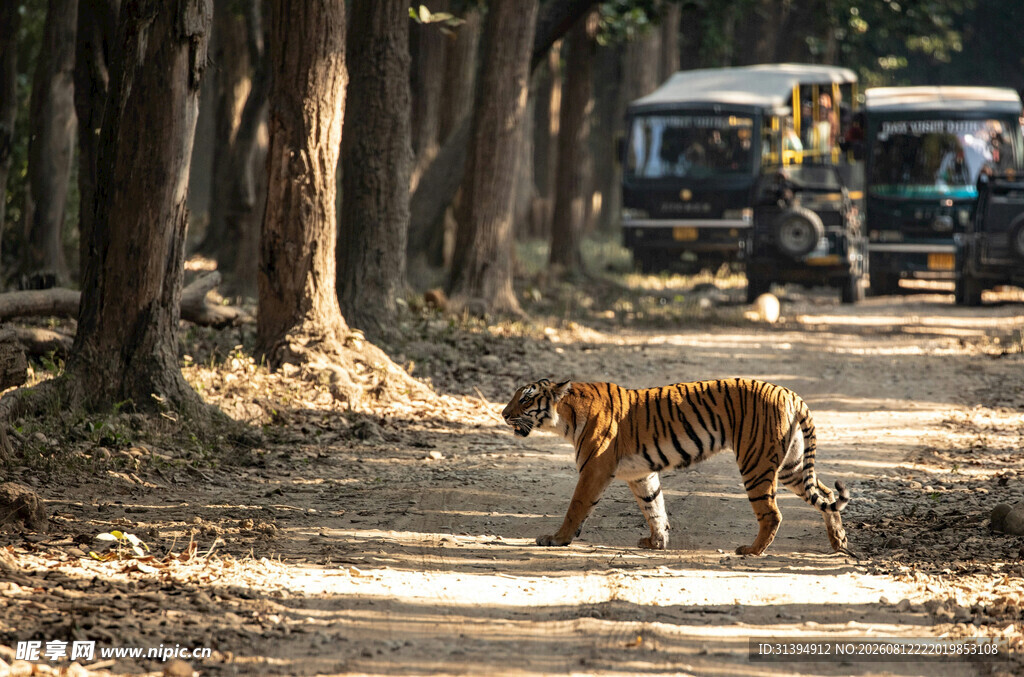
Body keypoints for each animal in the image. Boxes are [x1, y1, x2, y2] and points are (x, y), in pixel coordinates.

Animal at [501, 378, 850, 556]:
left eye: (525, 399)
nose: (503, 414)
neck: (566, 418)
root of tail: (790, 392)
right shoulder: (641, 473)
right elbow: (654, 507)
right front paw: (656, 542)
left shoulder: (594, 469)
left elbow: (576, 506)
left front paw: (556, 539)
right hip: (791, 466)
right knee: (827, 495)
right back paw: (839, 543)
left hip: (756, 463)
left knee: (772, 513)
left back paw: (751, 550)